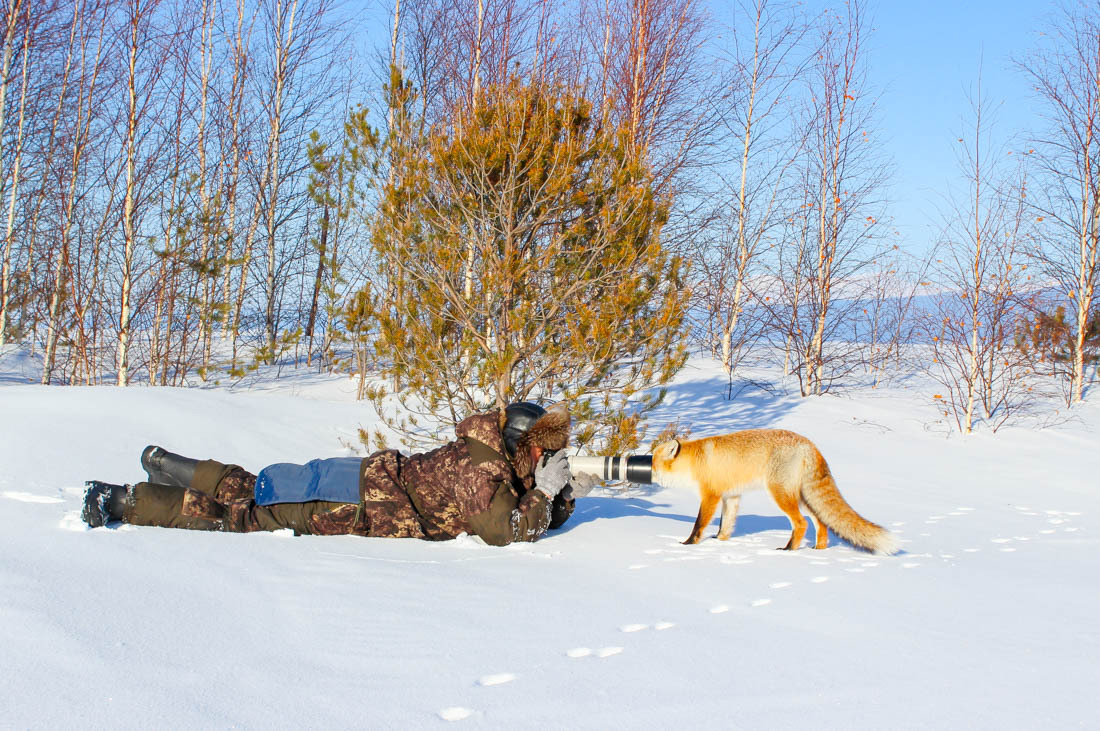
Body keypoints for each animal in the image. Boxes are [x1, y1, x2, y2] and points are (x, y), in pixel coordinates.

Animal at [646, 428, 897, 554]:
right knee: (821, 522)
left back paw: (789, 549)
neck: (693, 462)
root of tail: (809, 444)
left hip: (780, 494)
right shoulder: (731, 496)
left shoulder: (711, 495)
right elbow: (725, 526)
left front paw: (688, 544)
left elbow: (699, 524)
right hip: (803, 498)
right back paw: (818, 550)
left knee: (801, 523)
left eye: (653, 461)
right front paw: (720, 543)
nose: (643, 467)